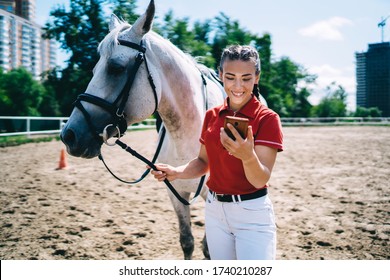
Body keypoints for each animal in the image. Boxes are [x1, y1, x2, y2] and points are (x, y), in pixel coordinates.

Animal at [61, 0, 225, 260]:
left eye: (116, 68)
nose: (69, 135)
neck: (188, 136)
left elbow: (210, 249)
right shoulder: (175, 194)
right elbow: (187, 242)